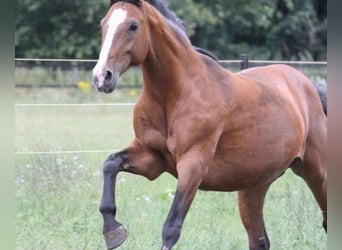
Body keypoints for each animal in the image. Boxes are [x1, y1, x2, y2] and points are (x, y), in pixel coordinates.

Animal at [92, 0, 328, 249]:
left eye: (133, 25)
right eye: (103, 24)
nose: (102, 77)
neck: (174, 95)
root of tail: (308, 86)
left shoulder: (193, 164)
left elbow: (171, 228)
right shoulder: (151, 157)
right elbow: (110, 163)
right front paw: (112, 230)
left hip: (317, 173)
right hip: (254, 187)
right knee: (259, 240)